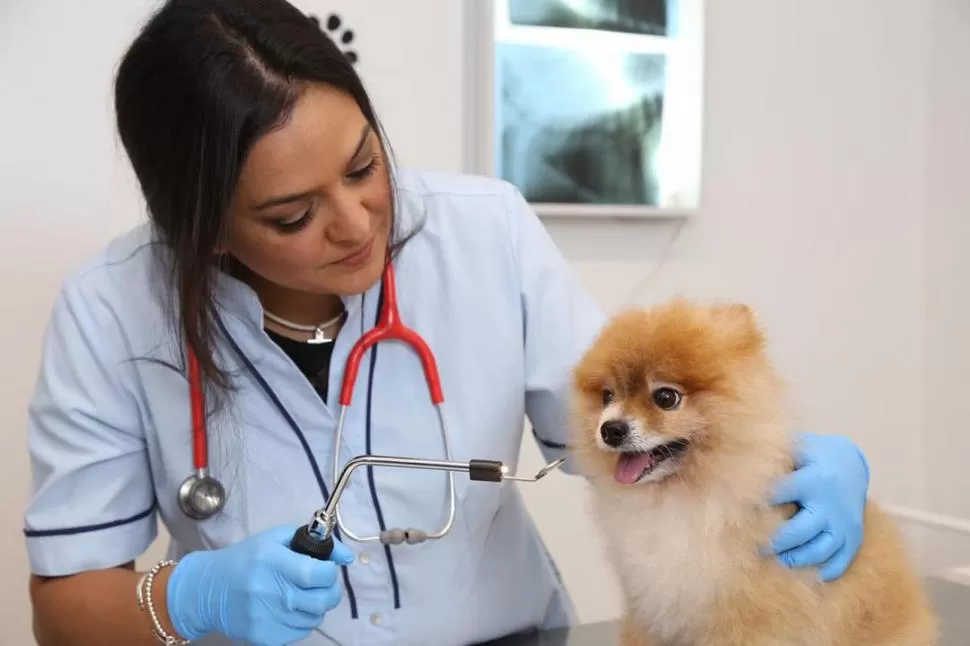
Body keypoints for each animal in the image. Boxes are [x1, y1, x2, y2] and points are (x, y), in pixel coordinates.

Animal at [572, 302, 932, 646]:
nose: (610, 429)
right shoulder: (649, 610)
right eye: (607, 396)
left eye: (665, 397)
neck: (680, 497)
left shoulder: (744, 619)